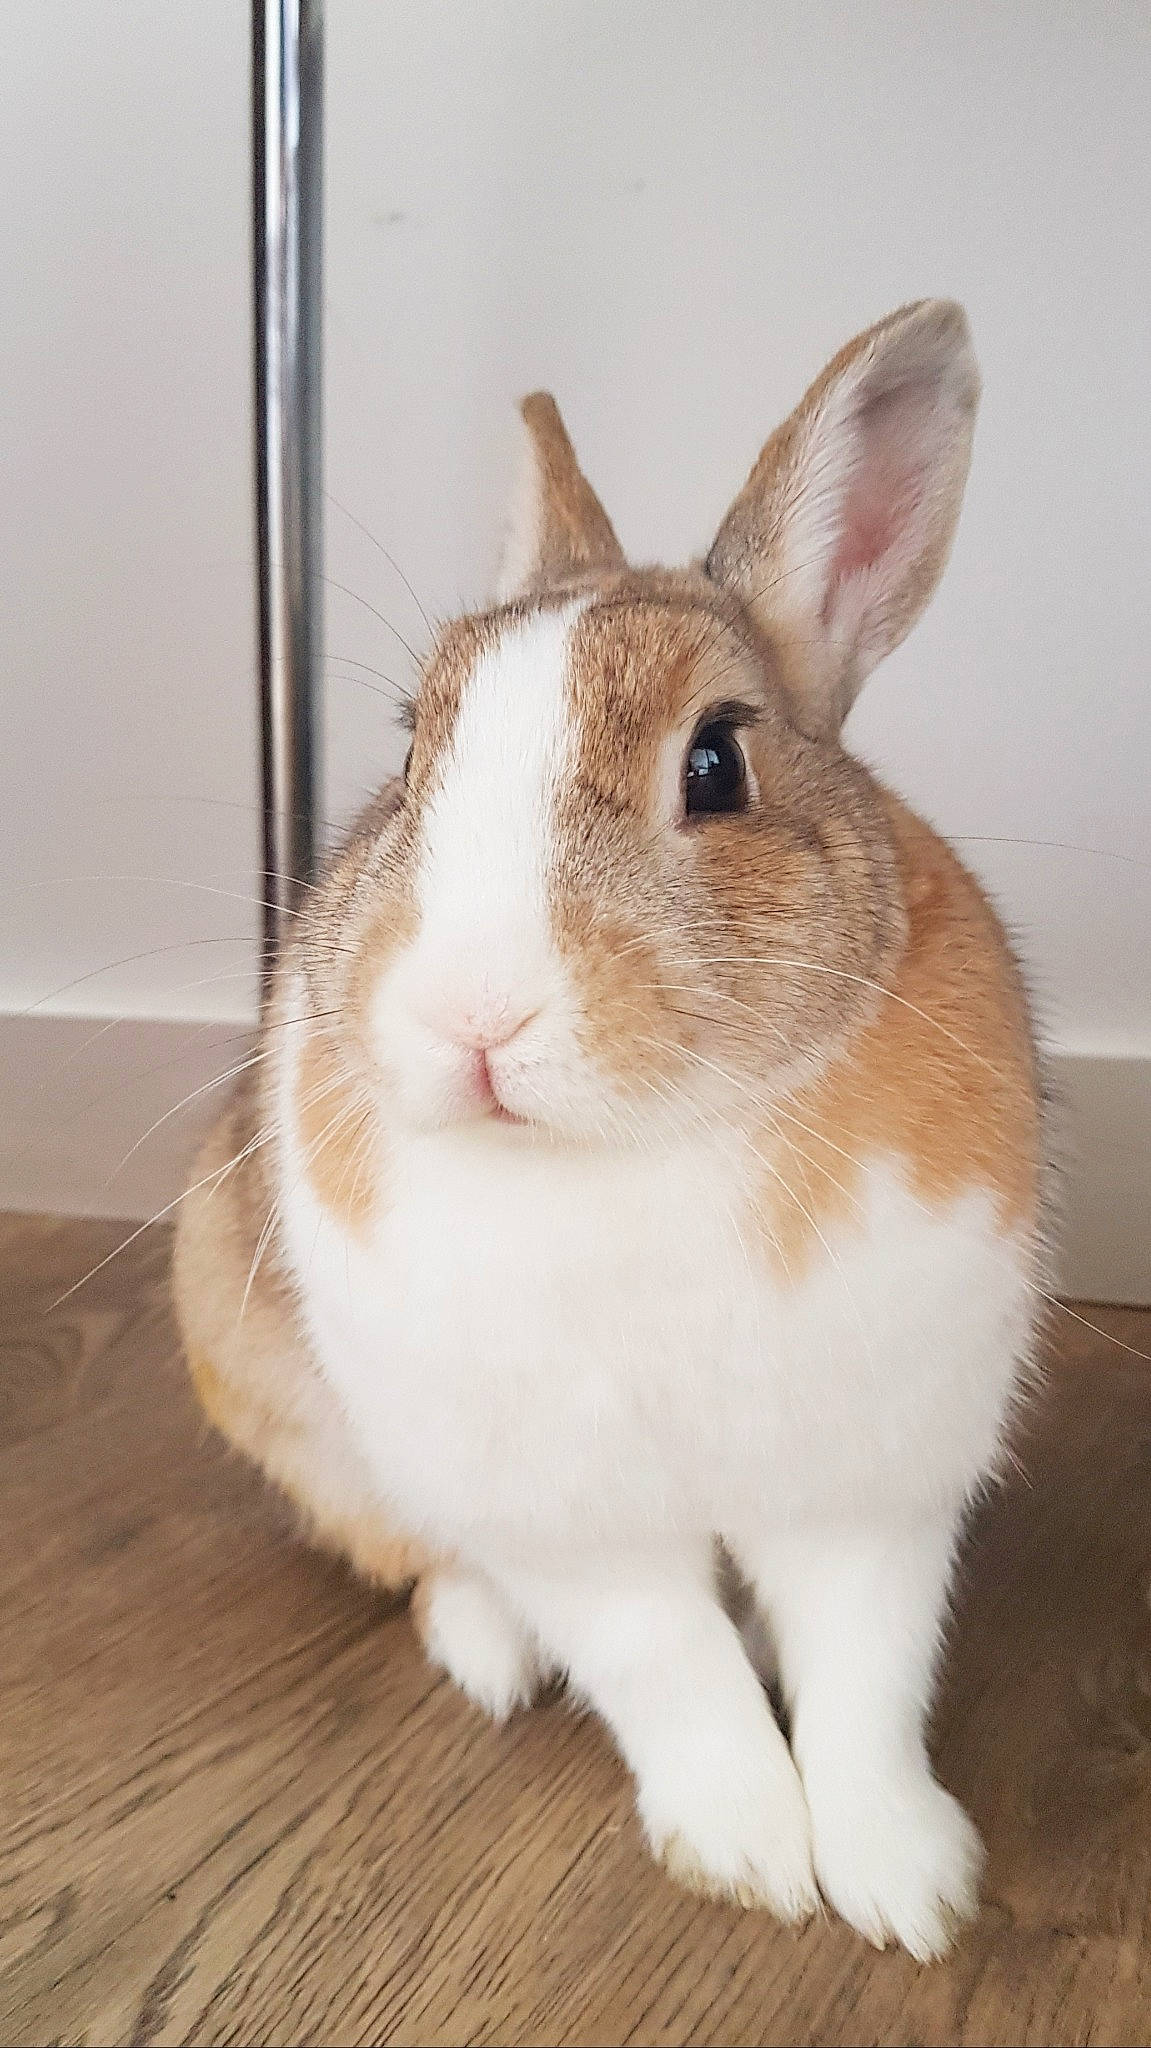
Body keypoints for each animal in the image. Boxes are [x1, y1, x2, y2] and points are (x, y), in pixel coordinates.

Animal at [174, 299, 1044, 1961]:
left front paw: (905, 1887)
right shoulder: (565, 1511)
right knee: (420, 1556)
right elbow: (665, 1670)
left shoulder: (870, 1484)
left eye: (716, 762)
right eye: (409, 754)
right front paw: (751, 1855)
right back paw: (488, 1649)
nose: (473, 1014)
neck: (636, 1141)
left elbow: (862, 1680)